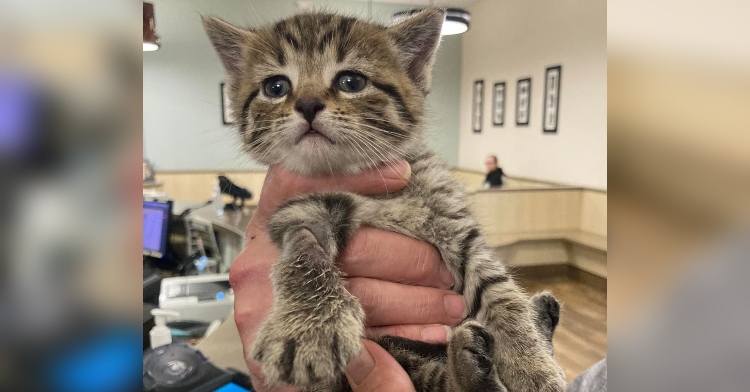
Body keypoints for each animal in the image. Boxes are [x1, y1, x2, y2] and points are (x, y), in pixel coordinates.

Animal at [203, 9, 568, 392]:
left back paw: (531, 324)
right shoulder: (298, 210)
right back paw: (470, 365)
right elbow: (304, 257)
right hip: (392, 348)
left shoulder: (456, 224)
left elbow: (500, 292)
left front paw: (533, 365)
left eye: (351, 81)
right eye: (276, 88)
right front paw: (308, 326)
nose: (307, 104)